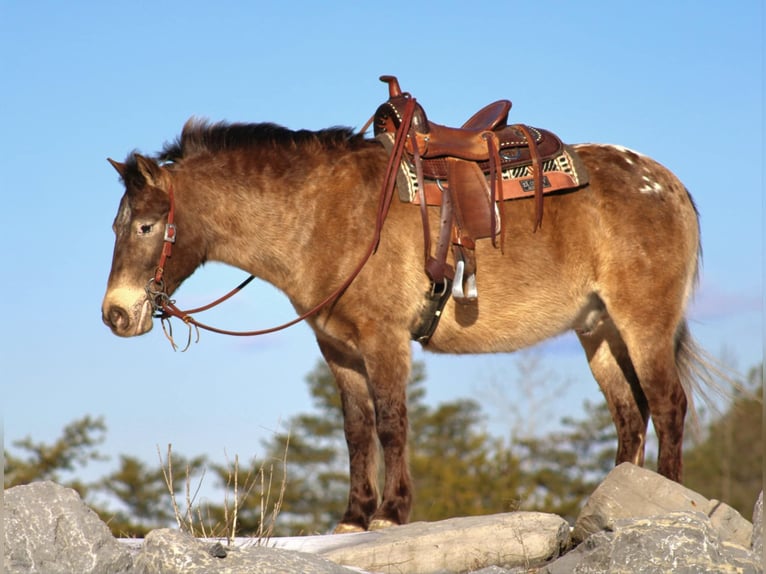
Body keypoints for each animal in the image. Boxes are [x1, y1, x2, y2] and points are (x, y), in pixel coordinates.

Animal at [102, 79, 712, 532]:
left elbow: (392, 422)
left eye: (147, 225)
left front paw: (391, 513)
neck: (325, 215)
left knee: (668, 406)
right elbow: (356, 429)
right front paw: (353, 515)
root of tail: (670, 184)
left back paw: (667, 497)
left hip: (643, 324)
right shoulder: (338, 348)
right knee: (631, 417)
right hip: (598, 332)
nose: (116, 314)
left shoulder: (384, 338)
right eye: (118, 225)